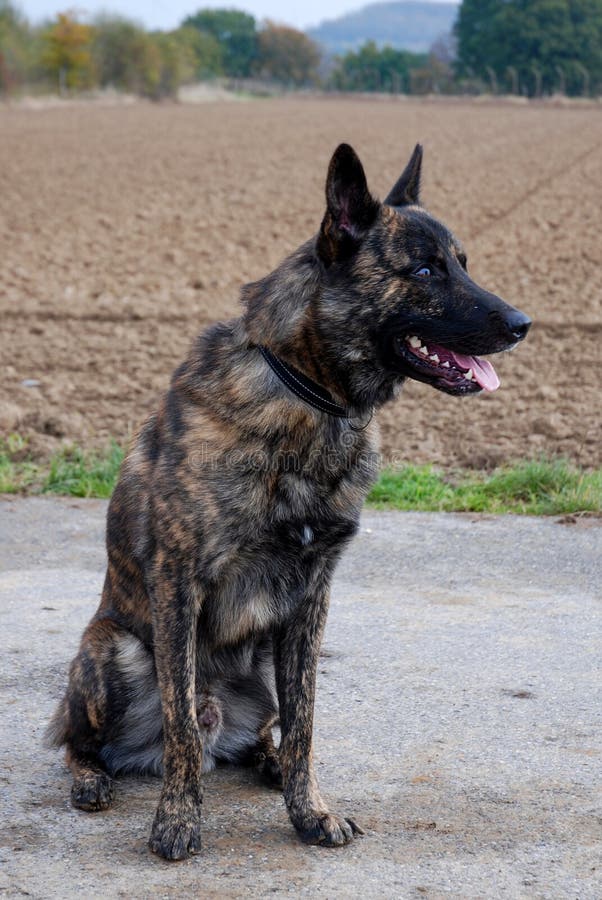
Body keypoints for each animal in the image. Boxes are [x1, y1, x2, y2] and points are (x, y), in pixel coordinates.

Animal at [47, 144, 528, 860]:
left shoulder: (310, 597)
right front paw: (177, 821)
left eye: (463, 263)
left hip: (264, 662)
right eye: (424, 270)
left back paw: (266, 761)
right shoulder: (178, 583)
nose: (524, 325)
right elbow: (181, 720)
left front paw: (310, 812)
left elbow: (306, 724)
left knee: (263, 733)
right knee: (86, 740)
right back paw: (92, 779)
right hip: (114, 650)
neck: (308, 395)